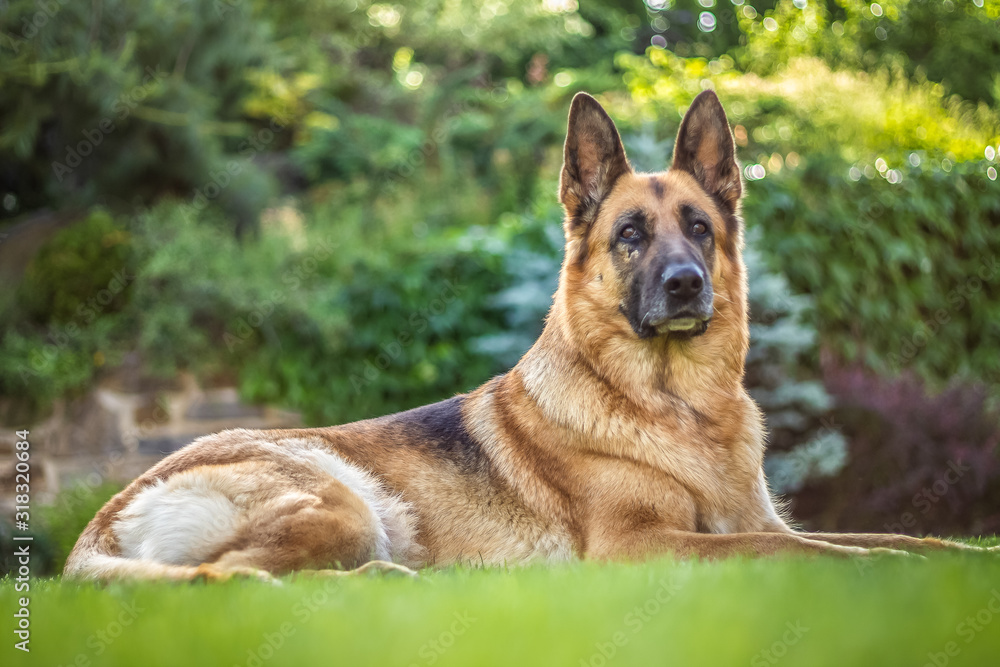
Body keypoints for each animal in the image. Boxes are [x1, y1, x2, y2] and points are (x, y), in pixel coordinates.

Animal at [64, 91, 992, 580]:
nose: (686, 284)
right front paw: (886, 572)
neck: (674, 409)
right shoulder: (641, 545)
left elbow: (874, 533)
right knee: (229, 573)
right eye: (630, 236)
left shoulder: (762, 521)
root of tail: (101, 518)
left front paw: (950, 554)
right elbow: (804, 550)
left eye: (699, 228)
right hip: (339, 497)